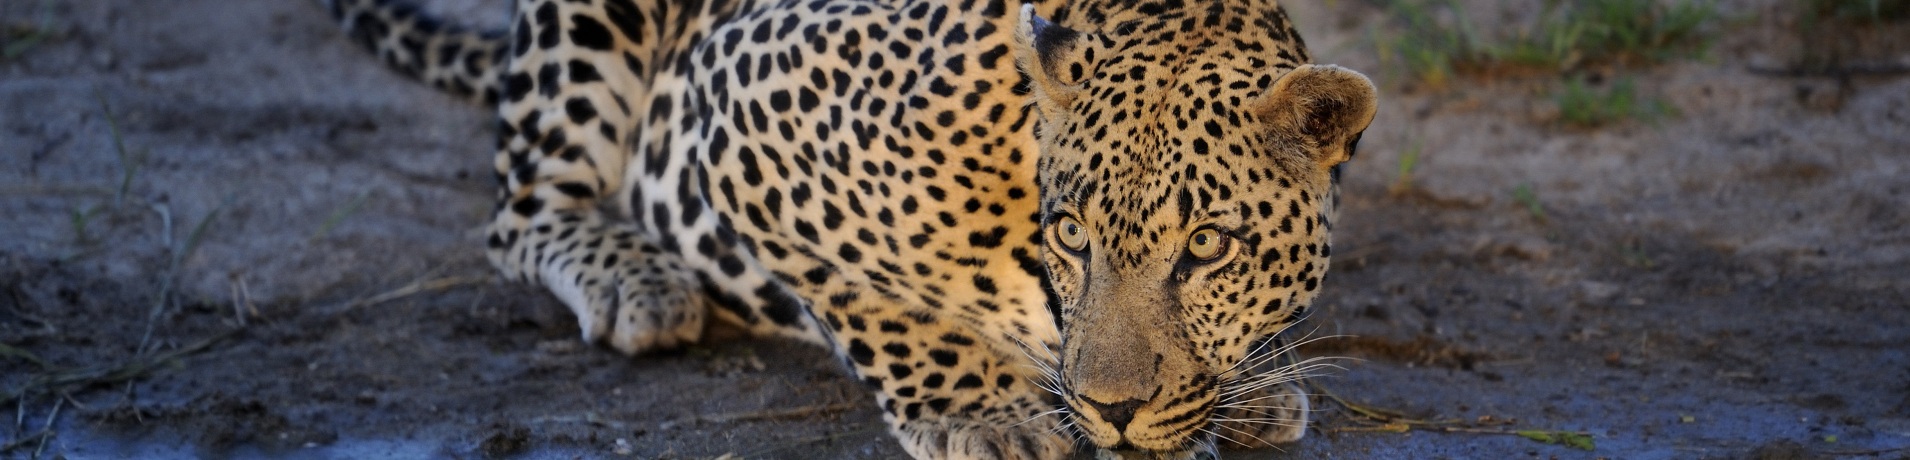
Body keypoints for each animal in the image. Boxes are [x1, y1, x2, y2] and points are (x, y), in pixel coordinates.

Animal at [322, 0, 1376, 457]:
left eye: (1207, 247)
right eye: (1073, 236)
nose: (1110, 410)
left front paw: (1251, 390)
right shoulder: (742, 107)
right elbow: (871, 306)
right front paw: (980, 413)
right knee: (522, 210)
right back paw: (639, 283)